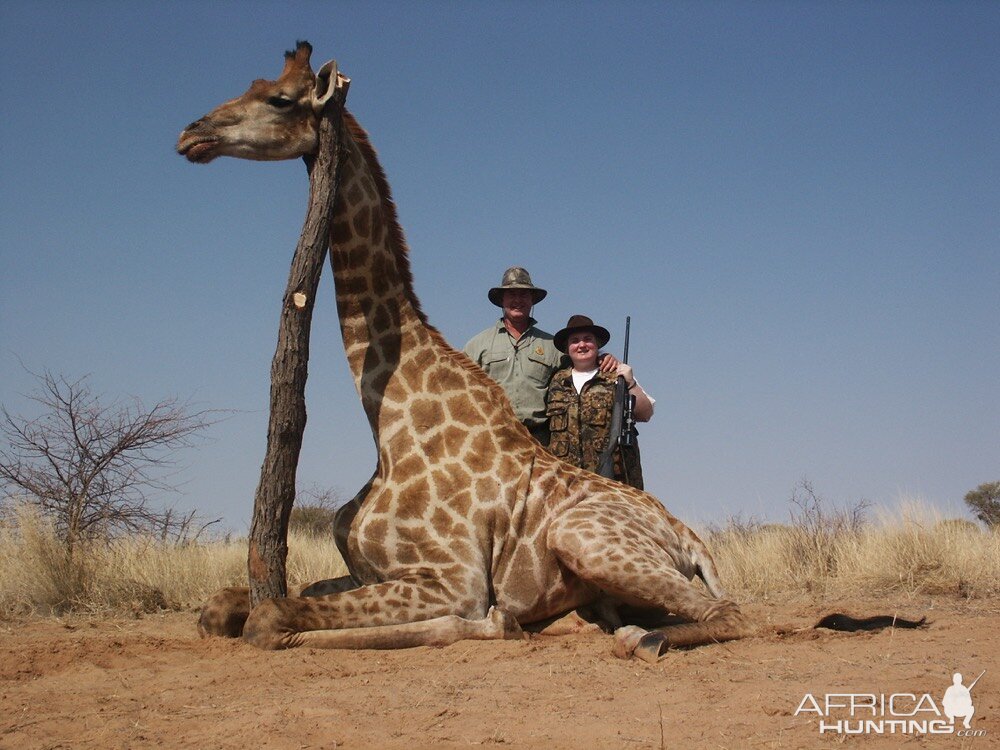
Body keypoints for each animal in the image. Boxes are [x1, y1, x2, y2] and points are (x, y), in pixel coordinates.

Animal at [178, 44, 752, 660]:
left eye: (280, 99)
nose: (191, 134)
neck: (389, 424)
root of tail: (688, 535)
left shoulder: (453, 579)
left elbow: (270, 616)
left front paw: (491, 622)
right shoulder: (367, 571)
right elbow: (220, 608)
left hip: (582, 539)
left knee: (729, 612)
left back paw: (638, 639)